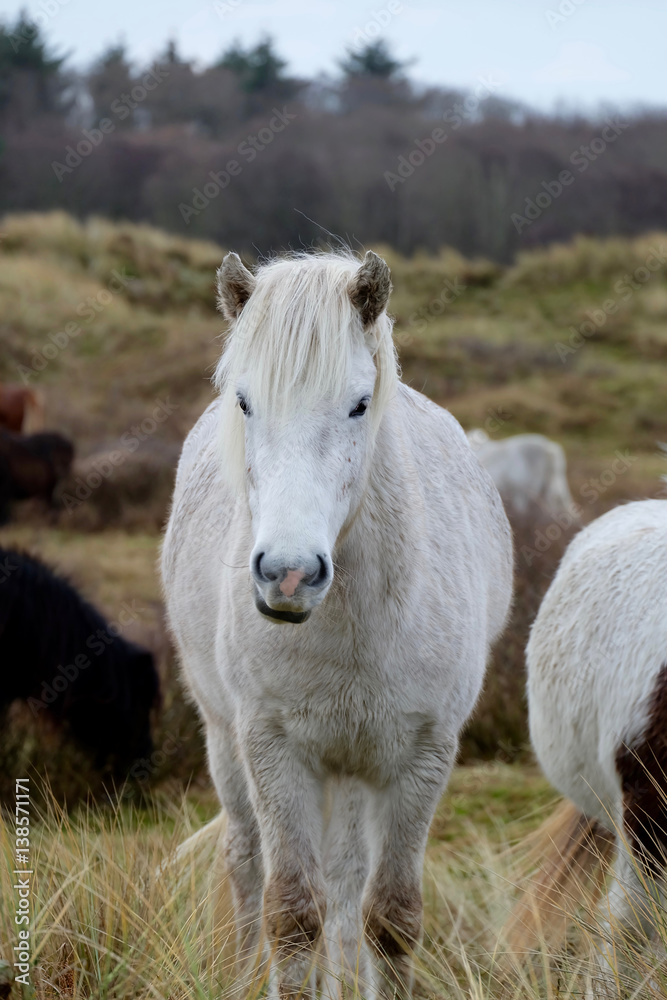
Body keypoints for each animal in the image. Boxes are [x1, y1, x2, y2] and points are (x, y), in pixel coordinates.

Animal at [161, 250, 513, 998]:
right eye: (244, 401)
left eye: (358, 404)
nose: (288, 574)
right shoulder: (274, 751)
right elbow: (292, 913)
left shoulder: (420, 757)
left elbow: (390, 918)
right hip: (226, 741)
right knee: (246, 862)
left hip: (353, 770)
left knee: (347, 881)